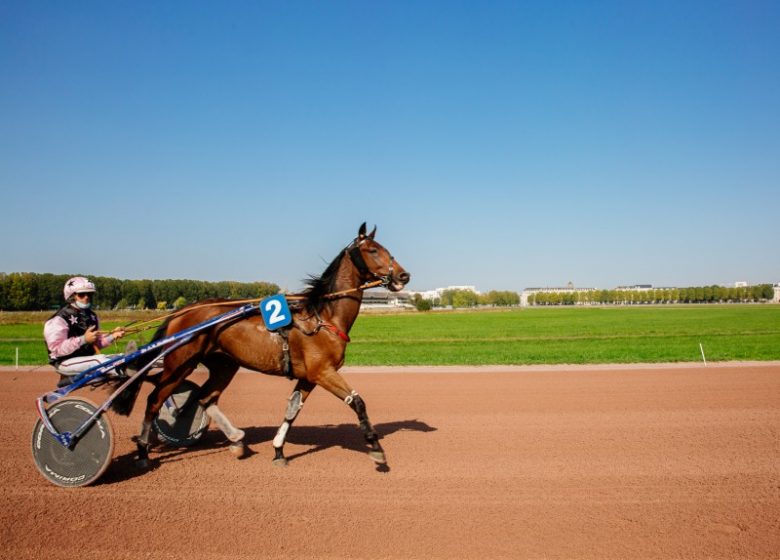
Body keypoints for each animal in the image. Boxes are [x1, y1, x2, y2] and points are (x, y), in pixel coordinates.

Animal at [116, 223, 412, 468]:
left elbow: (292, 411)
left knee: (206, 397)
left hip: (224, 364)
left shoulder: (310, 377)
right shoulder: (324, 372)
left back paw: (237, 441)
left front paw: (278, 450)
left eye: (387, 250)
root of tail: (181, 312)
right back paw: (143, 452)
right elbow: (357, 402)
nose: (403, 276)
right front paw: (375, 447)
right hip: (180, 363)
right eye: (373, 250)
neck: (323, 317)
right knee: (155, 400)